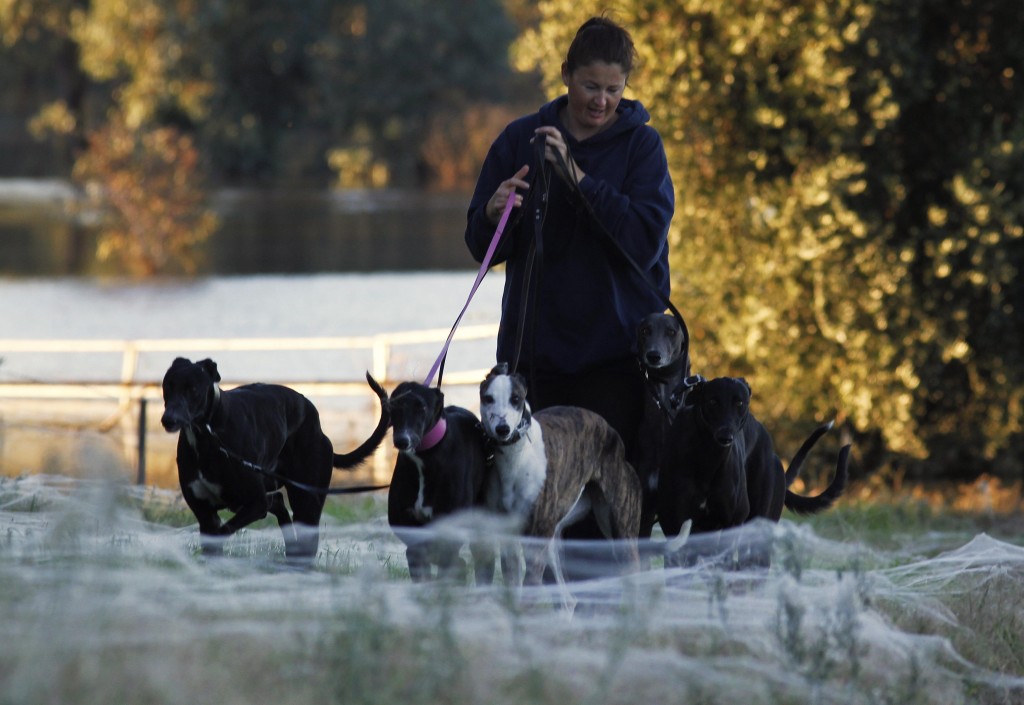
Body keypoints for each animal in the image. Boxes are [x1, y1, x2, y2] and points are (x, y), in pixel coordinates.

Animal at [161, 358, 389, 561]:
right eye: (167, 386)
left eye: (193, 389)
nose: (168, 420)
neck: (209, 434)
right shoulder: (205, 511)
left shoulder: (255, 502)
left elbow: (221, 534)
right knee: (279, 503)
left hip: (306, 500)